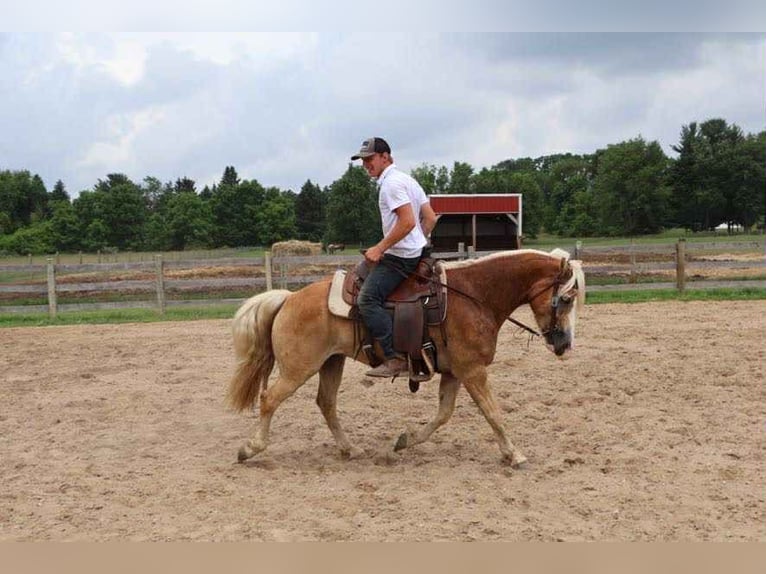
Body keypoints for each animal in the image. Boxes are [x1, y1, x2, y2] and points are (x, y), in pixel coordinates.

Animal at [227, 248, 585, 467]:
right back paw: (249, 448)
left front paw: (403, 442)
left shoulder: (455, 372)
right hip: (298, 368)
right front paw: (515, 454)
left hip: (331, 362)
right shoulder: (473, 370)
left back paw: (349, 448)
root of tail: (289, 298)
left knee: (326, 403)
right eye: (566, 299)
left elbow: (443, 415)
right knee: (270, 399)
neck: (474, 296)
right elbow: (493, 413)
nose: (565, 345)